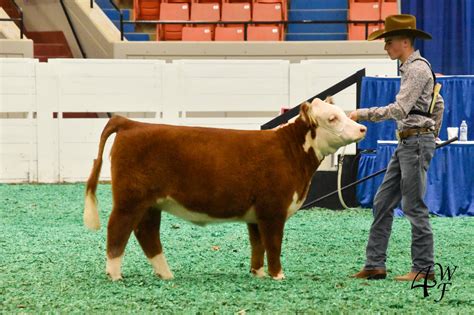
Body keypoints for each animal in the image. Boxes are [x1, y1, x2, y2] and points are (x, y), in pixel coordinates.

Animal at [84, 98, 366, 282]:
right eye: (332, 118)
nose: (362, 128)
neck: (291, 151)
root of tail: (131, 123)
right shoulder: (273, 209)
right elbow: (273, 244)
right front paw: (277, 275)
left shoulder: (256, 214)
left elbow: (257, 244)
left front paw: (257, 273)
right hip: (130, 199)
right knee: (118, 229)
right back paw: (115, 275)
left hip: (151, 203)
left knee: (147, 233)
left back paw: (166, 274)